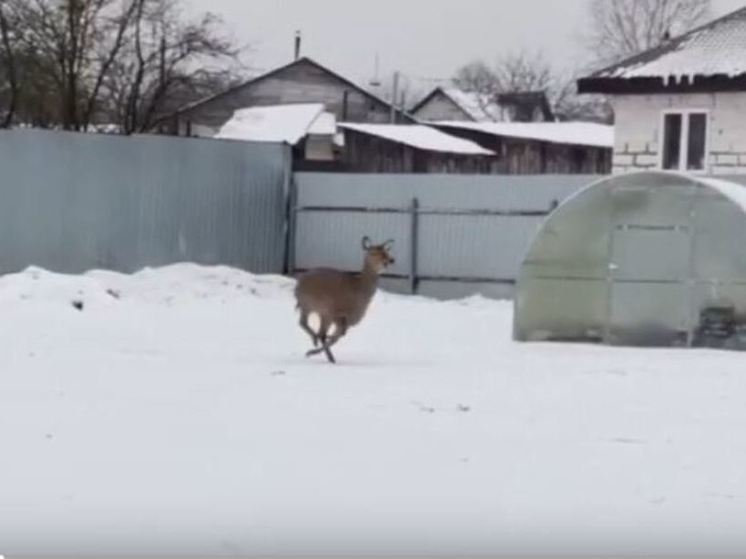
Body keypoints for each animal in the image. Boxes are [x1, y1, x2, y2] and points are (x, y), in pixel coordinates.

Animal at [294, 236, 396, 364]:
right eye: (373, 252)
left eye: (387, 252)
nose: (390, 260)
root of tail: (297, 285)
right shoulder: (336, 314)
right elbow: (336, 335)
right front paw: (314, 352)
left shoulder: (344, 320)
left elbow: (339, 336)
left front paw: (314, 351)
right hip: (318, 307)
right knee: (318, 331)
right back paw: (319, 346)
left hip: (309, 307)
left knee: (304, 323)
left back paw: (317, 344)